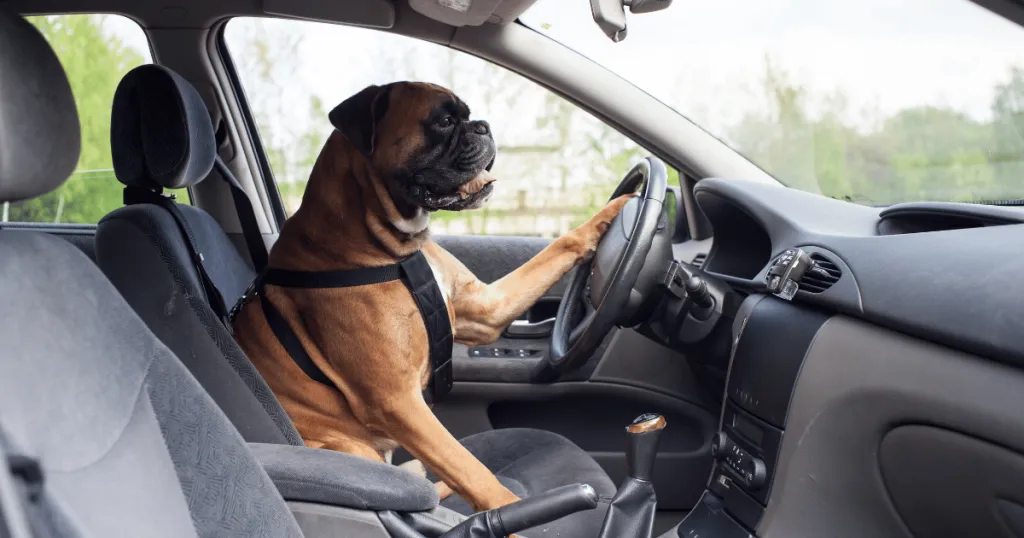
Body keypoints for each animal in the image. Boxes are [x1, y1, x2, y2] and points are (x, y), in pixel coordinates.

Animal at [234, 80, 630, 512]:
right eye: (443, 121)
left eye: (468, 115)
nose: (483, 126)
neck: (395, 250)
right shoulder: (398, 401)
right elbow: (472, 469)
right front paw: (515, 511)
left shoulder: (486, 309)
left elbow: (560, 245)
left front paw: (623, 207)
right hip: (348, 451)